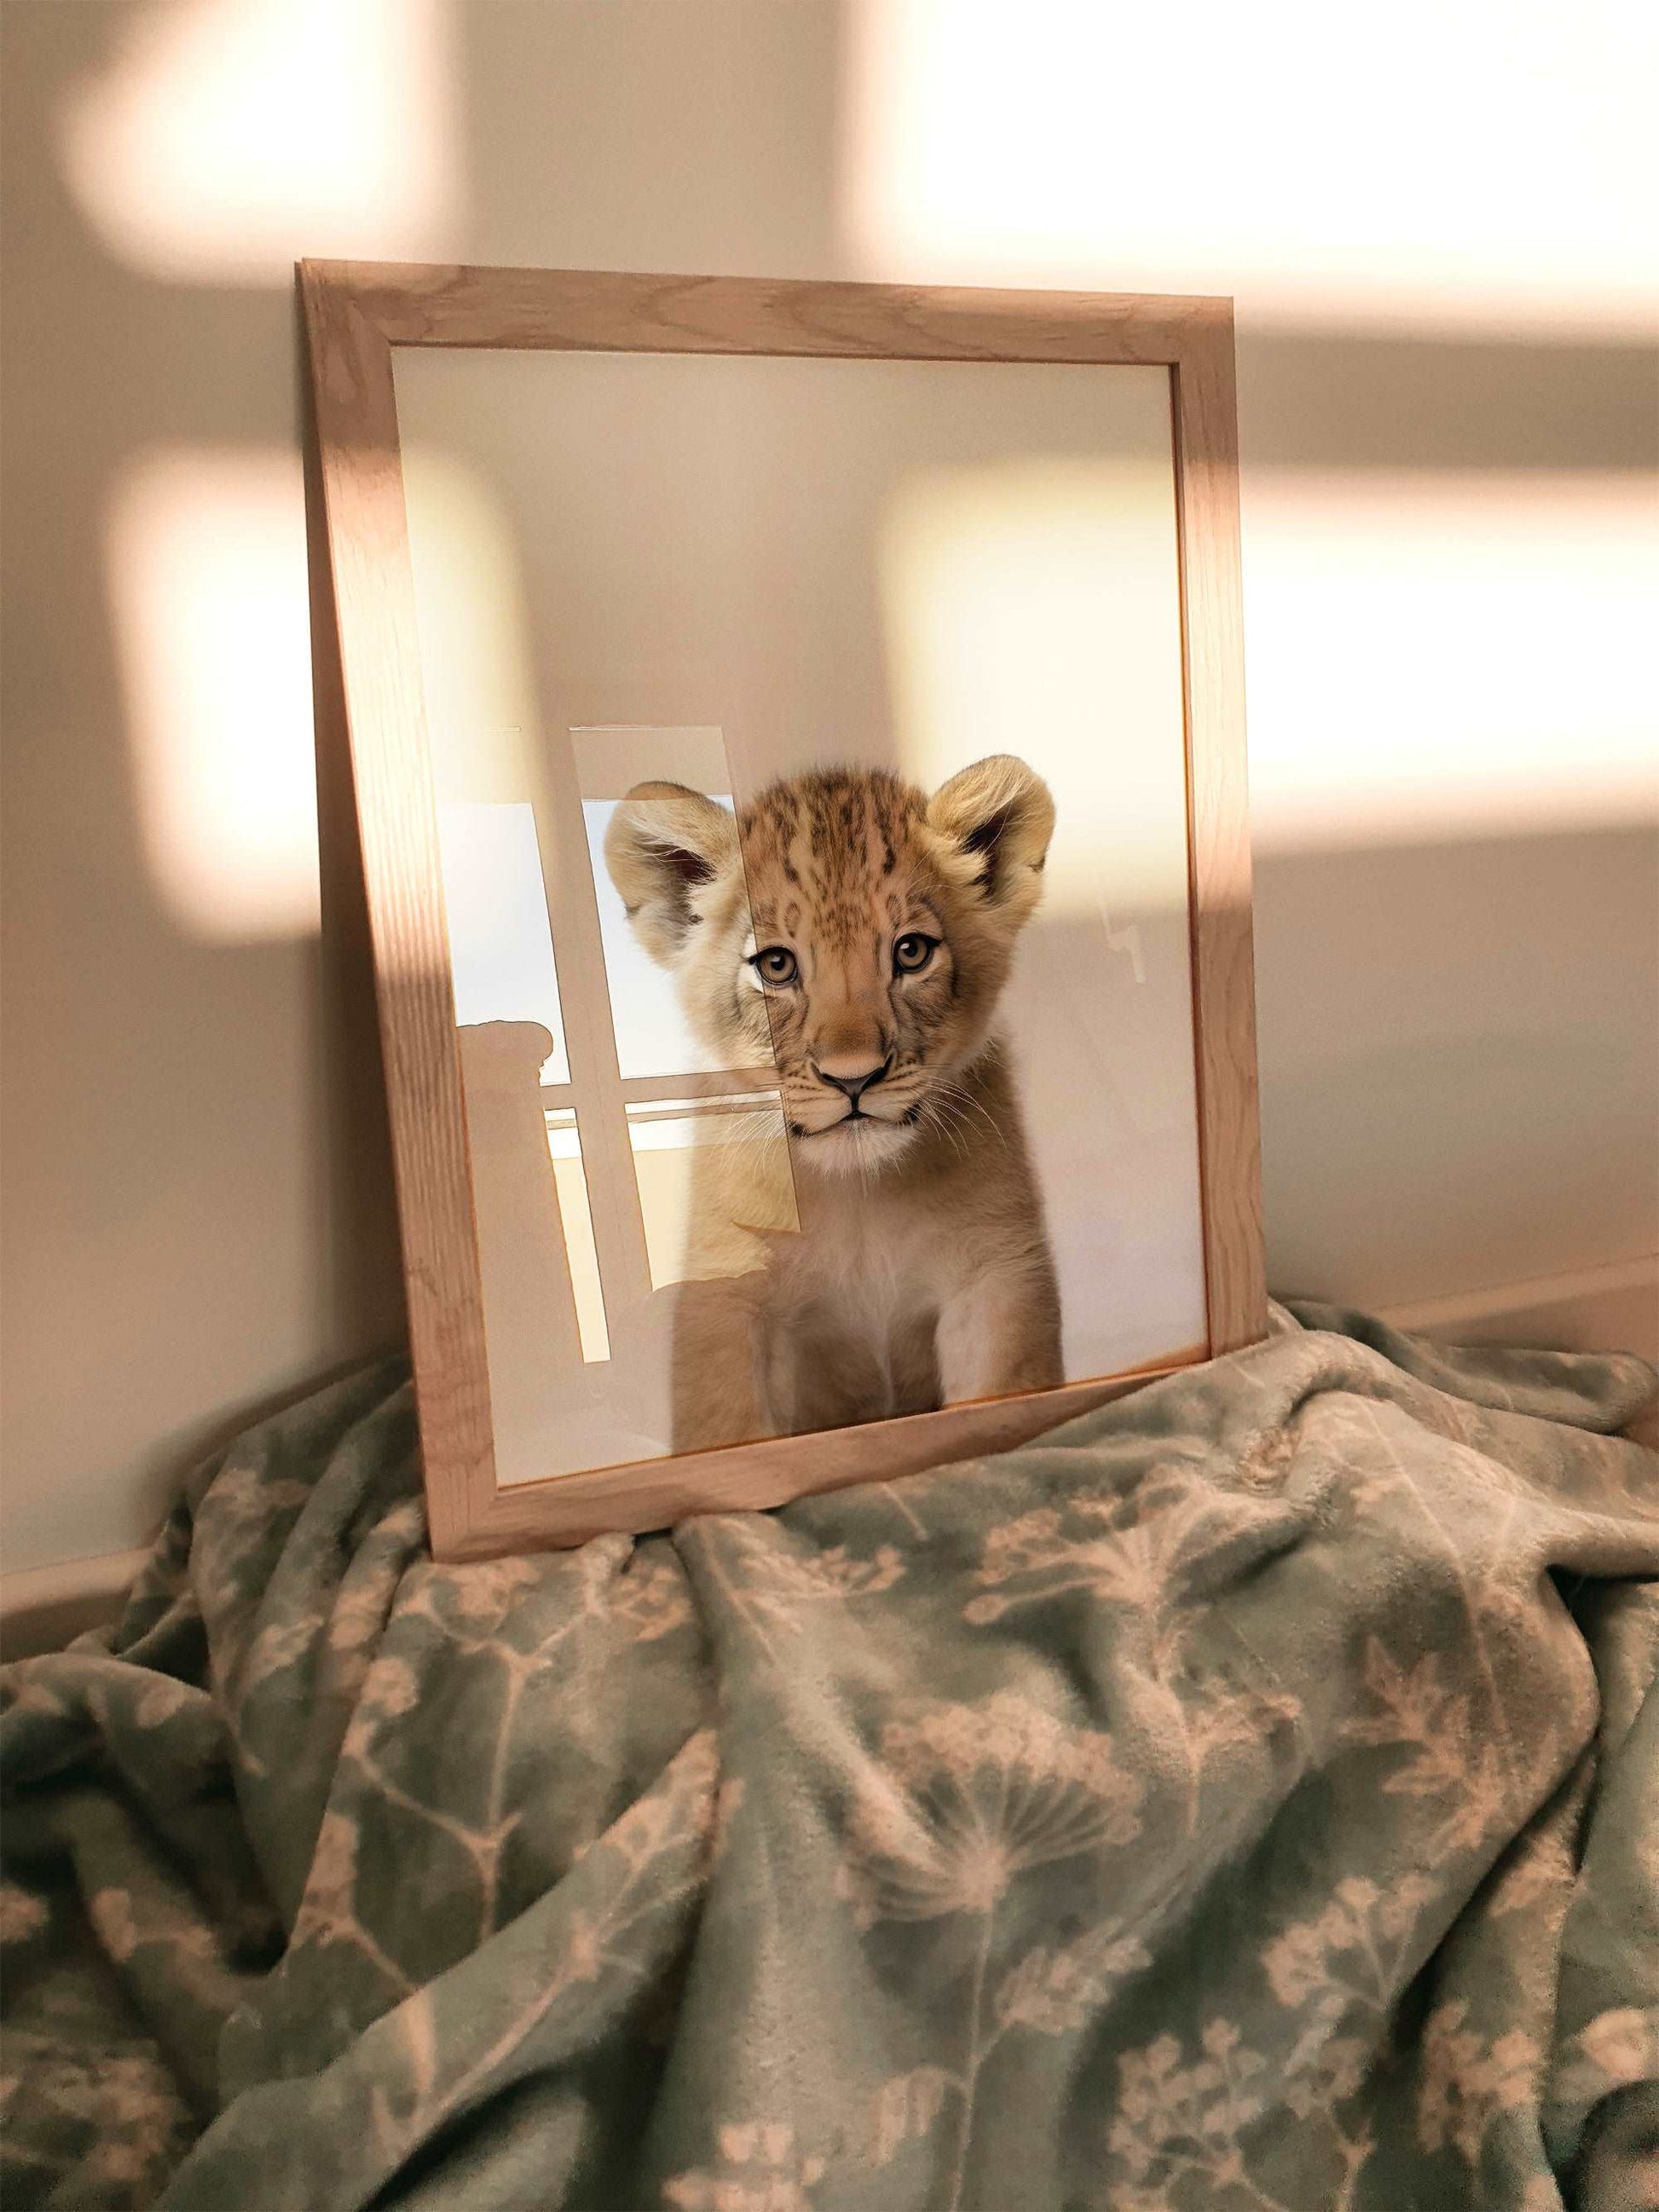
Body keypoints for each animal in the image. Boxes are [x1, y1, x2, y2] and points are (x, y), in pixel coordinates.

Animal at [604, 756, 1063, 1450]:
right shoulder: (726, 1291)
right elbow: (726, 1424)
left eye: (910, 951)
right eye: (776, 965)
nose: (854, 1078)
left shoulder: (996, 1269)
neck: (858, 1197)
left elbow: (1001, 1399)